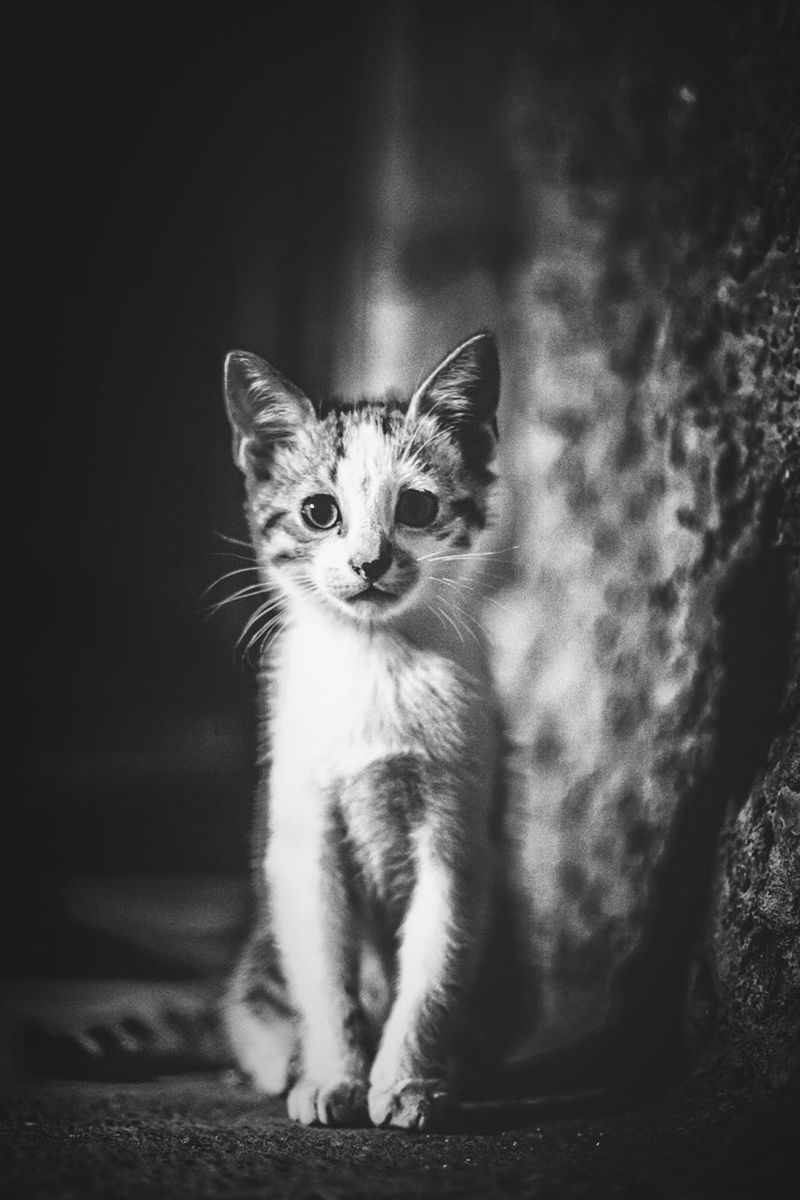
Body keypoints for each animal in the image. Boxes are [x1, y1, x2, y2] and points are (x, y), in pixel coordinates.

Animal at [219, 328, 522, 1123]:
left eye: (415, 507)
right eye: (319, 512)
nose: (369, 561)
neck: (374, 661)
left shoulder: (459, 836)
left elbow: (436, 965)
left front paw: (411, 1080)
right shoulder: (304, 838)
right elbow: (326, 975)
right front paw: (333, 1076)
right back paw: (283, 1064)